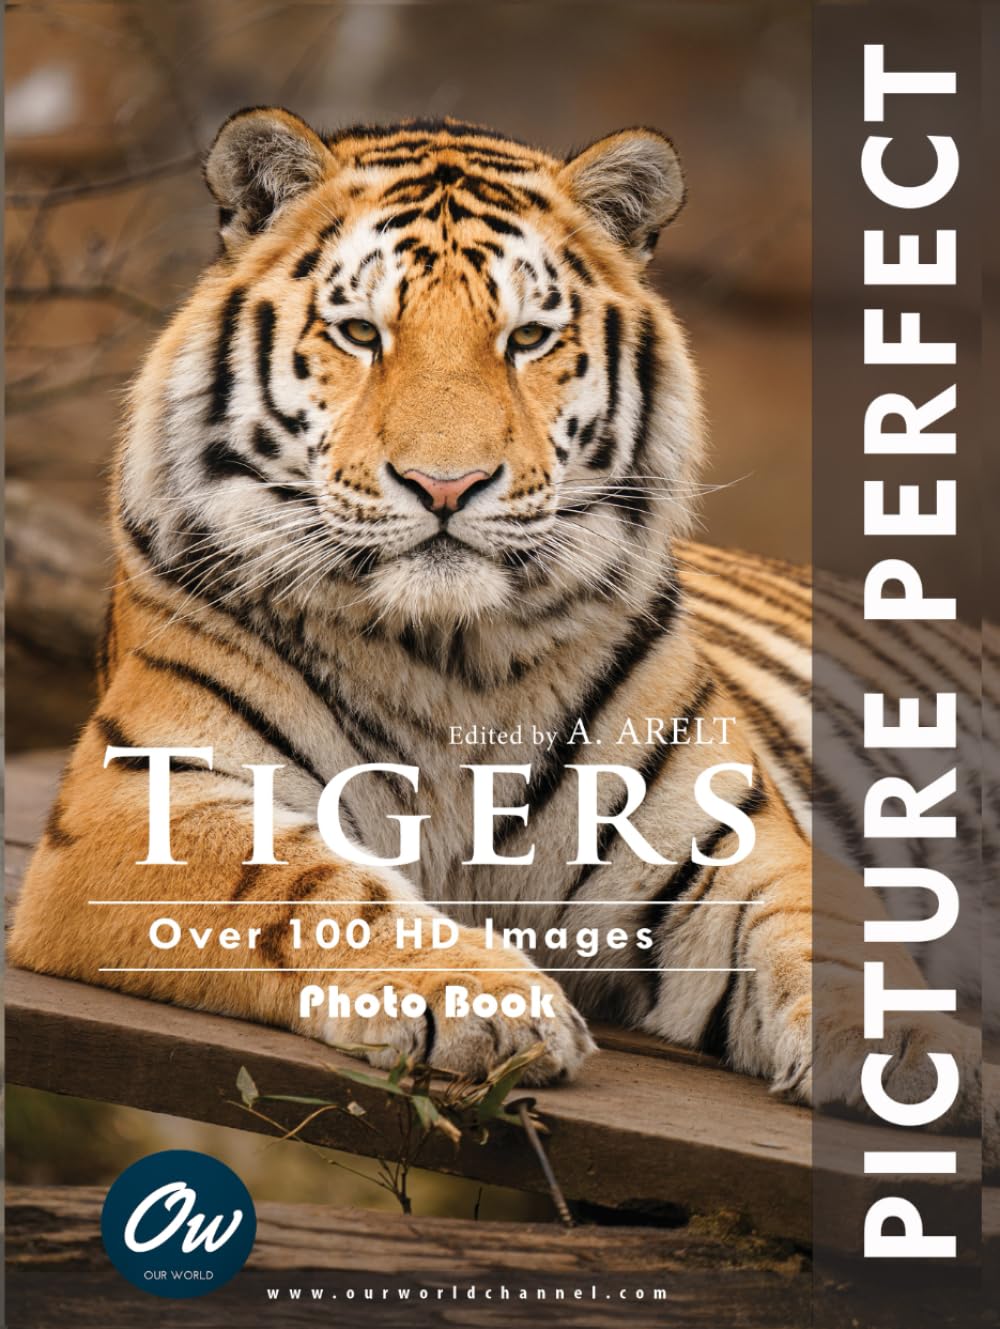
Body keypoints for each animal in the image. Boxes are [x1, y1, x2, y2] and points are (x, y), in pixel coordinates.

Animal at [8, 110, 990, 1151]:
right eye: (361, 332)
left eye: (527, 339)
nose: (446, 486)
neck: (449, 657)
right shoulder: (140, 812)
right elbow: (311, 887)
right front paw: (481, 997)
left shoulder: (732, 842)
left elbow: (828, 933)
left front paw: (919, 1052)